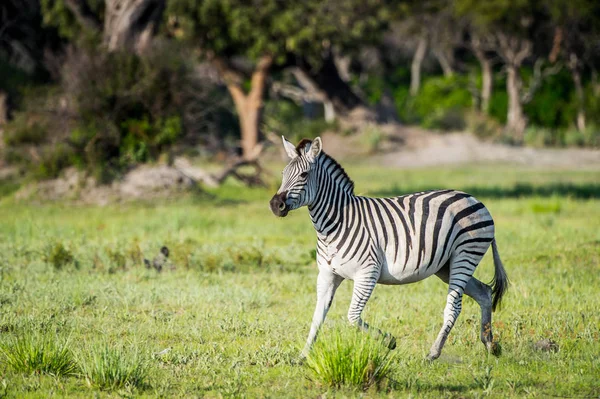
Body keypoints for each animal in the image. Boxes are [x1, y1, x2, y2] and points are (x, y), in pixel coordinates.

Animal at [270, 137, 508, 362]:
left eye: (304, 175)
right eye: (283, 174)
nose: (275, 205)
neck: (335, 223)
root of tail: (473, 198)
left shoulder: (367, 273)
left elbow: (352, 316)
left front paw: (389, 341)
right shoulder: (328, 274)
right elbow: (317, 317)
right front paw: (303, 356)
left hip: (465, 254)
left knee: (455, 305)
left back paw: (433, 353)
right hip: (445, 265)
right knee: (484, 292)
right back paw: (490, 345)